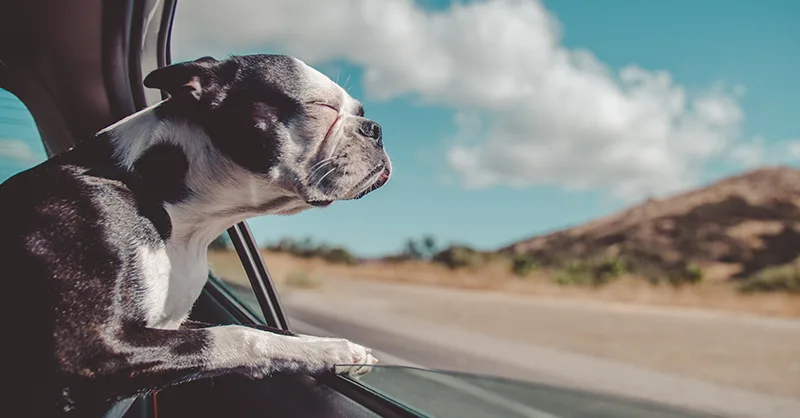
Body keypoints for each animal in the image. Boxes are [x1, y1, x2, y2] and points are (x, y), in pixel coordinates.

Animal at [0, 54, 390, 416]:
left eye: (360, 112)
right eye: (321, 107)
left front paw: (330, 347)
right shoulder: (93, 350)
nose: (375, 128)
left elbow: (264, 328)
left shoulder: (174, 324)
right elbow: (238, 335)